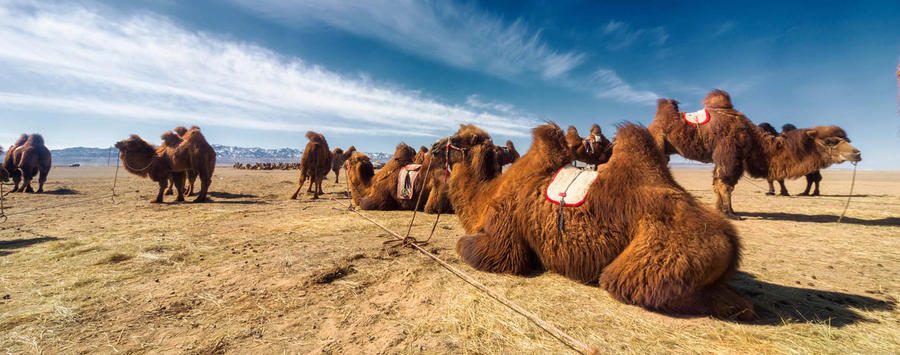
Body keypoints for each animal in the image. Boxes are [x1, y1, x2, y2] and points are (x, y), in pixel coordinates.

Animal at [428, 123, 752, 320]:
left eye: (455, 139)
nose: (432, 146)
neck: (485, 196)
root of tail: (729, 238)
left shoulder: (503, 239)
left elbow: (469, 247)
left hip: (655, 257)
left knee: (624, 281)